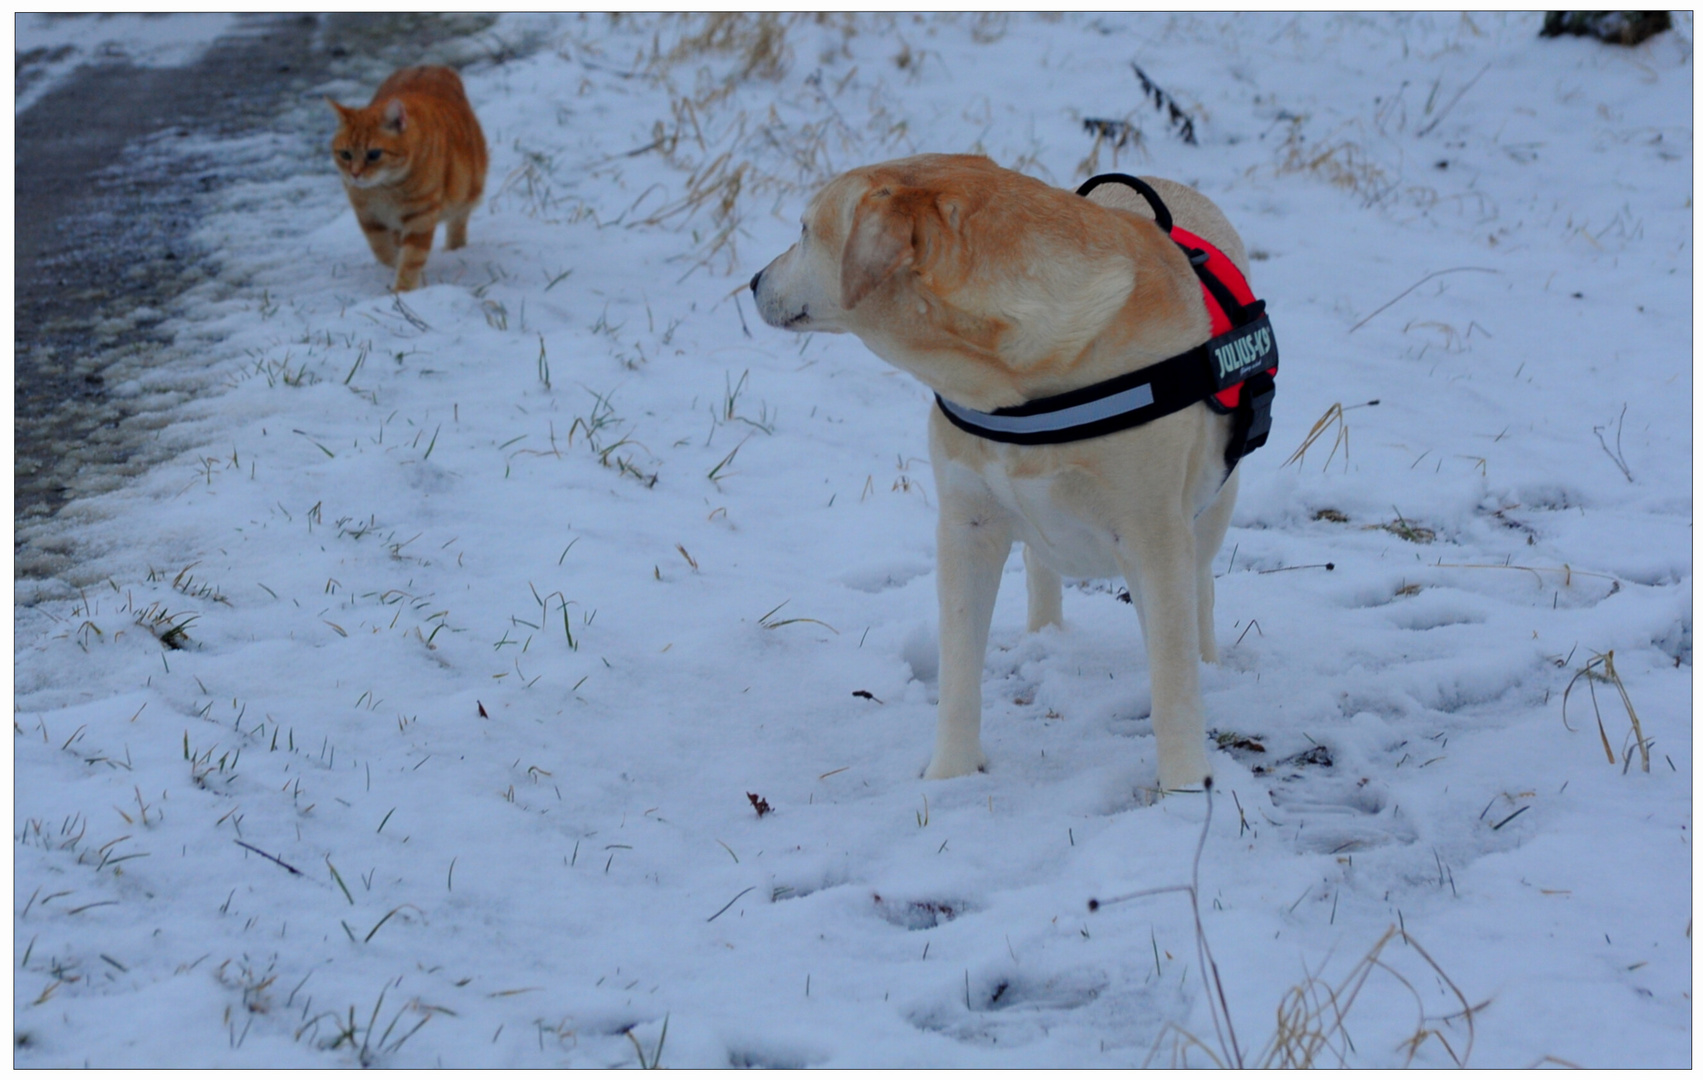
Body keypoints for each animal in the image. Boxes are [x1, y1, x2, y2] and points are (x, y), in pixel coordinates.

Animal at [326, 67, 490, 289]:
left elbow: (410, 259)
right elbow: (383, 250)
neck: (384, 189)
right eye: (345, 154)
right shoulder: (368, 216)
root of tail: (431, 66)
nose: (355, 174)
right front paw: (394, 265)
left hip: (466, 192)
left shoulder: (420, 217)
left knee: (458, 223)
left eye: (373, 154)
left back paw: (455, 247)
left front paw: (402, 290)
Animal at [752, 151, 1273, 787]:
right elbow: (958, 672)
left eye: (804, 230)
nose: (753, 281)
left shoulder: (1154, 535)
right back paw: (1045, 639)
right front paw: (949, 779)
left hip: (1209, 509)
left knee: (1197, 589)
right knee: (1040, 564)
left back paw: (1205, 661)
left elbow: (1173, 681)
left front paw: (1185, 789)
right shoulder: (966, 529)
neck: (1021, 376)